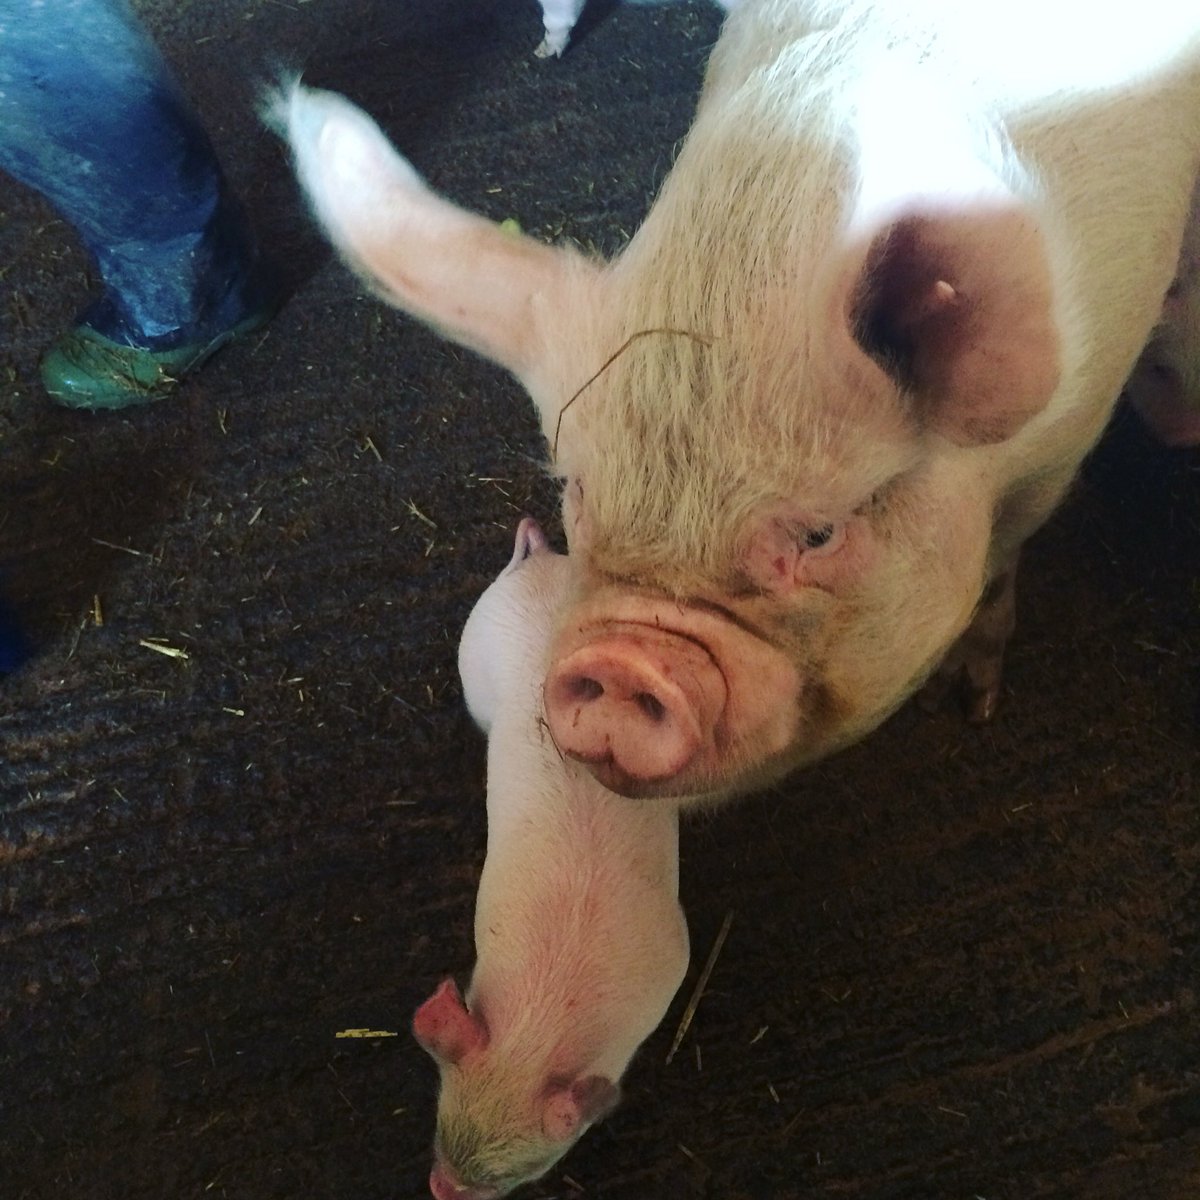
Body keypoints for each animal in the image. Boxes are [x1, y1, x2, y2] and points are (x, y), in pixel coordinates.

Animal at [282, 1, 1200, 805]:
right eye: (577, 493)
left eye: (819, 534)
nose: (621, 661)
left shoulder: (1060, 448)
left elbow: (1004, 564)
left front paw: (973, 702)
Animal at [412, 519, 689, 1199]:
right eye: (438, 1117)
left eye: (526, 1172)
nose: (441, 1189)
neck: (535, 1036)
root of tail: (540, 563)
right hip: (474, 649)